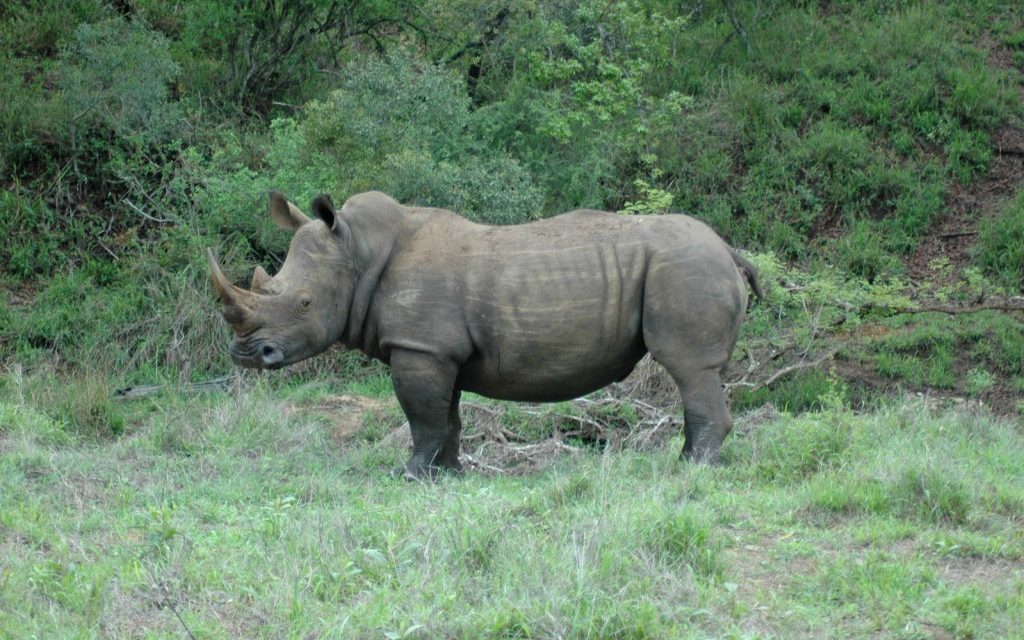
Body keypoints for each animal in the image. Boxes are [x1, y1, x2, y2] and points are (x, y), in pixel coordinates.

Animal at [207, 191, 764, 479]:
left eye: (303, 303)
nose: (246, 354)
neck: (358, 252)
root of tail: (728, 249)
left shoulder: (418, 347)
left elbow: (423, 419)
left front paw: (409, 476)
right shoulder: (438, 350)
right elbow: (447, 418)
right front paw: (449, 475)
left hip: (687, 268)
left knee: (688, 366)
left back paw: (690, 471)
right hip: (693, 265)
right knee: (696, 373)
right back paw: (689, 463)